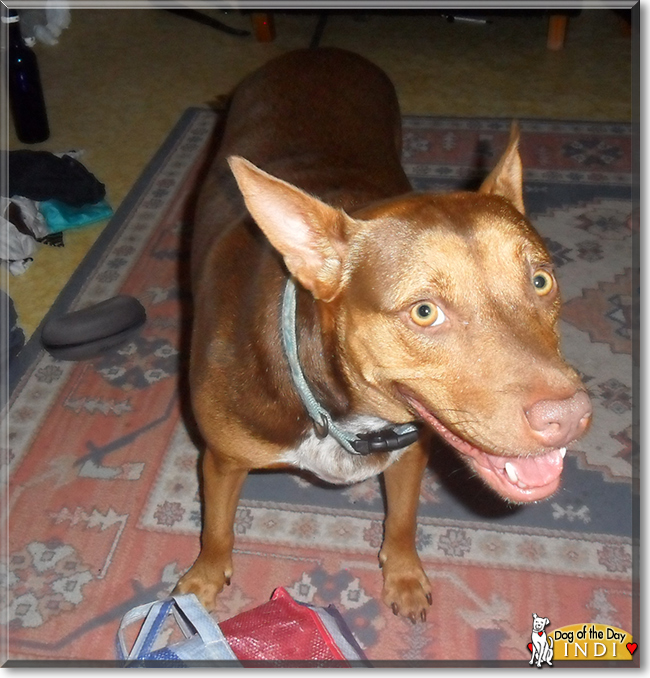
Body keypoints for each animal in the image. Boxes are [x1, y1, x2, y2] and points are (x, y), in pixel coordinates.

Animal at [175, 49, 588, 628]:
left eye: (542, 280)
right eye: (424, 312)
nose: (569, 418)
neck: (341, 412)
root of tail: (317, 51)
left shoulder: (411, 449)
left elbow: (403, 519)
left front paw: (405, 575)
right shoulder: (220, 460)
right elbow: (216, 530)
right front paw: (204, 582)